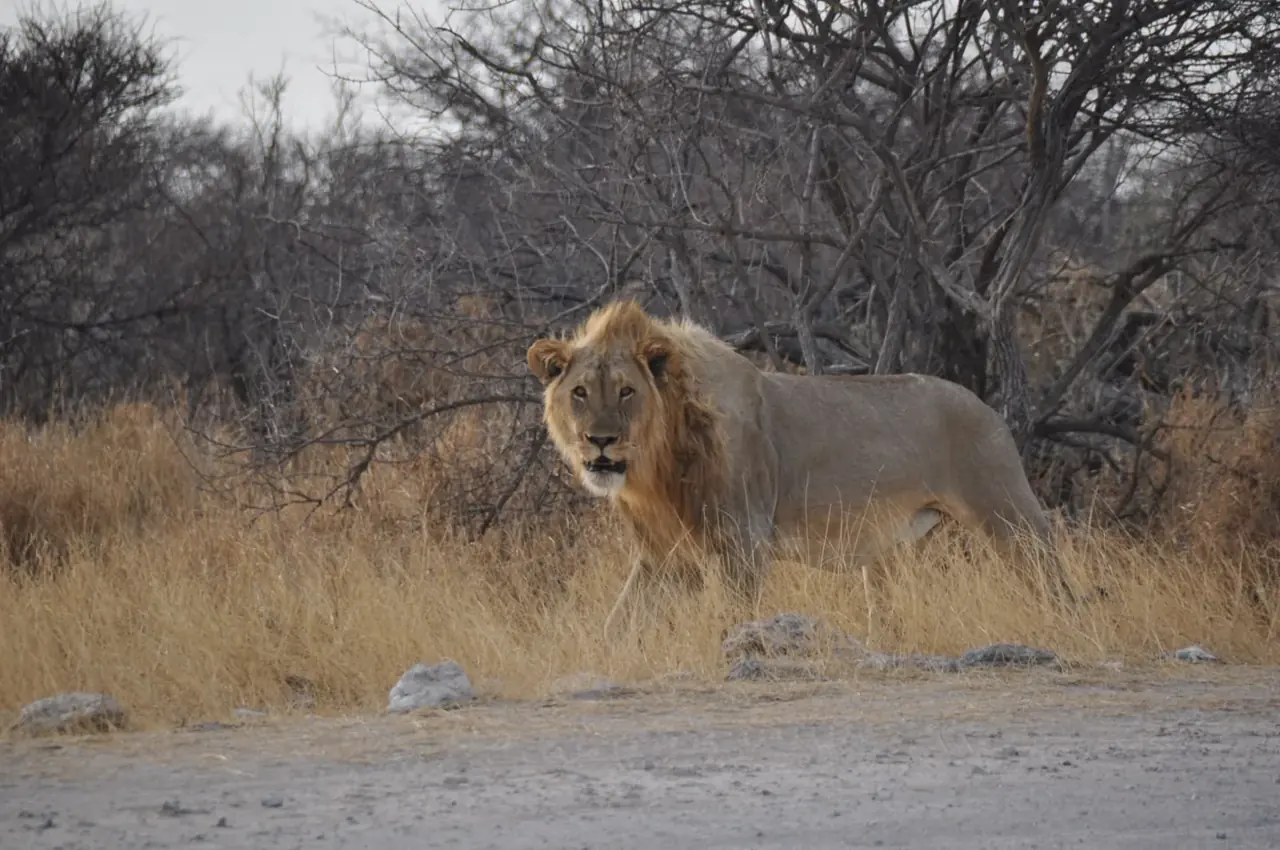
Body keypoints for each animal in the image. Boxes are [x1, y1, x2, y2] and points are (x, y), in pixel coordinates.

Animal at [526, 299, 1074, 636]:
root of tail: (987, 407)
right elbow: (619, 626)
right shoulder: (665, 555)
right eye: (580, 392)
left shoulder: (742, 543)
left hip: (1009, 515)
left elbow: (733, 619)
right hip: (898, 551)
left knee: (1055, 581)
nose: (600, 441)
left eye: (626, 391)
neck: (654, 468)